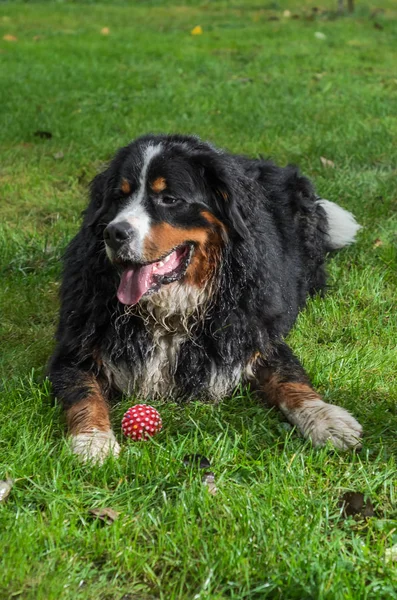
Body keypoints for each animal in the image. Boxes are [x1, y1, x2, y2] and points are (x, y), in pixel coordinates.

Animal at [48, 135, 362, 464]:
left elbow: (290, 378)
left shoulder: (257, 338)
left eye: (169, 199)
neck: (170, 311)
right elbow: (84, 394)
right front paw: (92, 441)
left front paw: (328, 419)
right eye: (118, 197)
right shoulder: (77, 349)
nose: (114, 233)